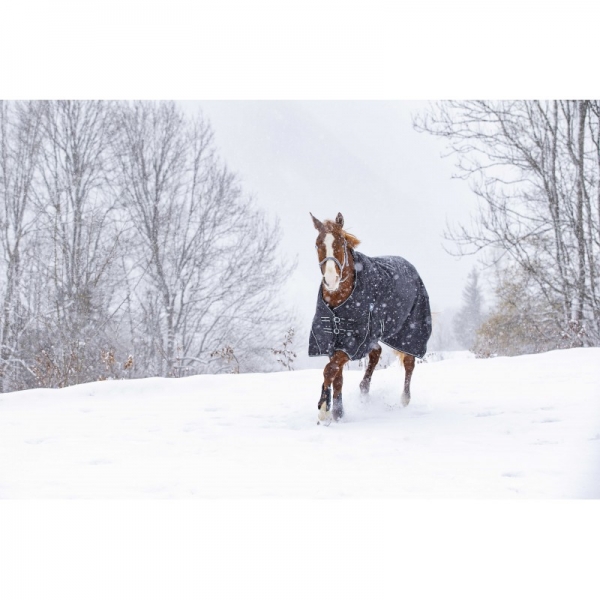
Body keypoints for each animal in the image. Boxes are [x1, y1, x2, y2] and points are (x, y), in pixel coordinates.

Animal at [309, 212, 432, 424]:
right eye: (318, 244)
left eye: (341, 242)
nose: (331, 280)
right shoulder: (332, 339)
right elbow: (337, 375)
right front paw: (337, 412)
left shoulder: (354, 341)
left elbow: (330, 370)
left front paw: (324, 410)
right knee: (376, 353)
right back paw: (364, 392)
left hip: (409, 332)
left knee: (409, 363)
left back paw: (404, 400)